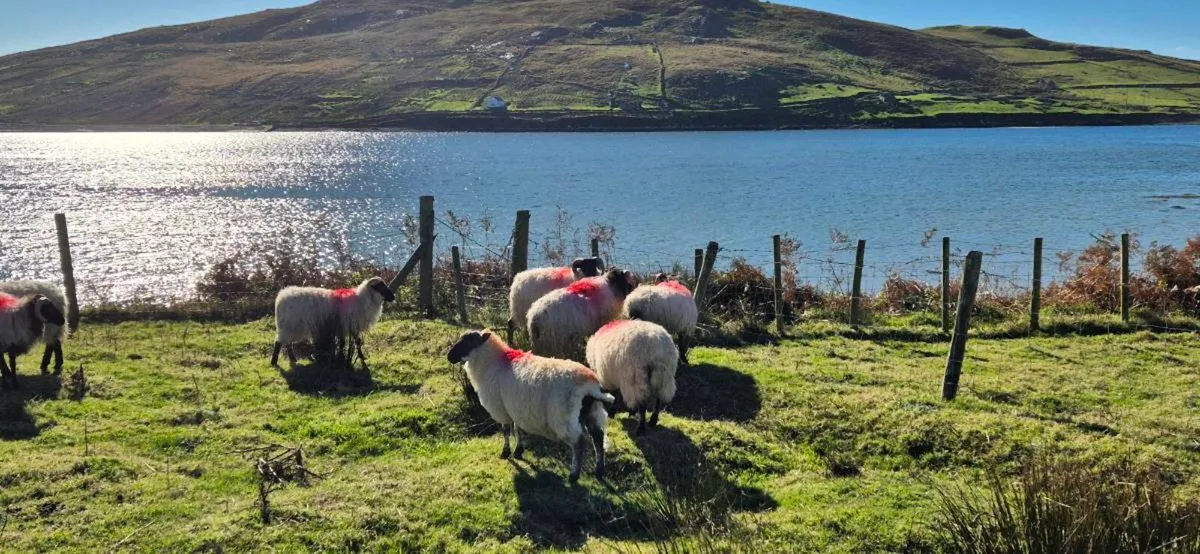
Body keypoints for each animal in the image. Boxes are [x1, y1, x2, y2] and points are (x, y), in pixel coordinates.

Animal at [448, 329, 613, 482]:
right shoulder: (515, 407)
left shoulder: (501, 409)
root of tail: (591, 386)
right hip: (593, 412)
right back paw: (599, 471)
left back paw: (574, 475)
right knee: (598, 438)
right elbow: (517, 429)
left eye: (469, 341)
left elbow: (506, 431)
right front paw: (518, 451)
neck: (493, 363)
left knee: (578, 443)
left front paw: (505, 452)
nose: (449, 356)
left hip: (563, 417)